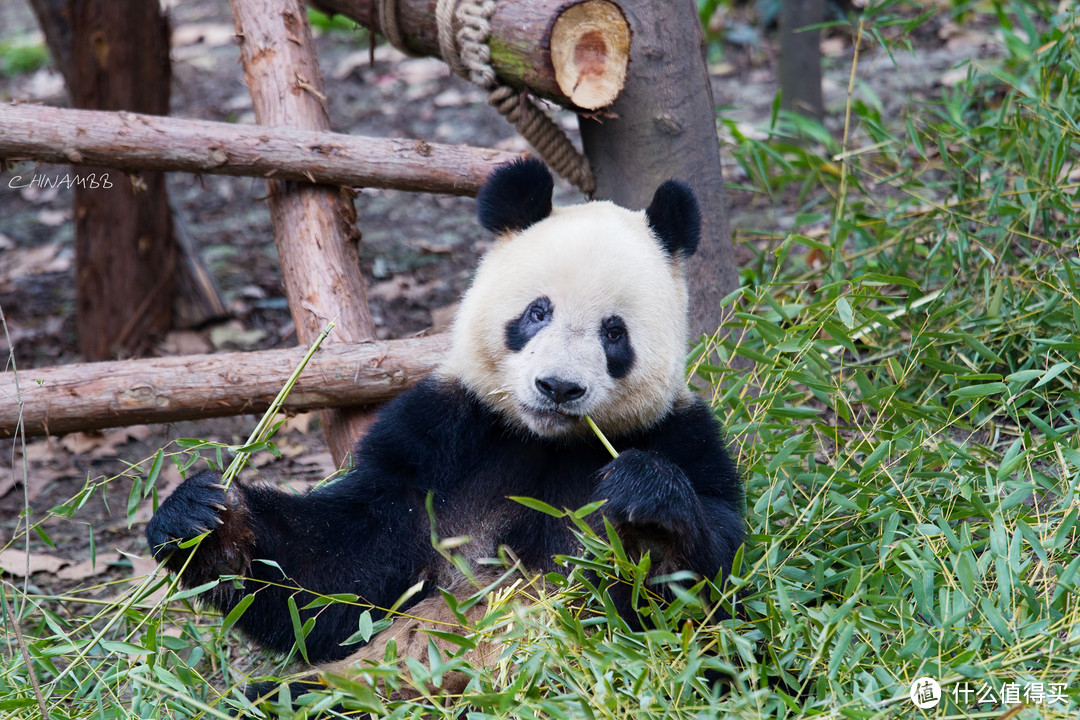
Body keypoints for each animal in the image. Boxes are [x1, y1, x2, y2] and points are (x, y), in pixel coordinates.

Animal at [147, 158, 747, 686]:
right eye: (538, 312)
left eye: (614, 333)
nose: (558, 388)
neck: (547, 441)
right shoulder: (443, 436)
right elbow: (337, 575)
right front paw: (203, 518)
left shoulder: (681, 437)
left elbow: (698, 606)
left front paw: (643, 503)